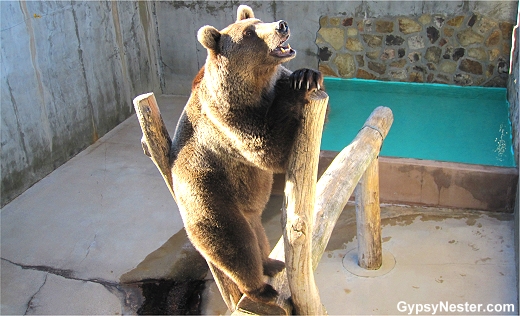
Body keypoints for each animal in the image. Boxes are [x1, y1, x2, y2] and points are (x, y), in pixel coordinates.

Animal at [171, 3, 322, 302]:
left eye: (258, 21)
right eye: (250, 34)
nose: (281, 25)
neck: (256, 87)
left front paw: (307, 74)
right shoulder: (229, 119)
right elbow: (268, 150)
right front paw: (295, 88)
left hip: (244, 202)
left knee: (256, 231)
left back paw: (271, 263)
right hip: (208, 194)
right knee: (233, 242)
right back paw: (259, 289)